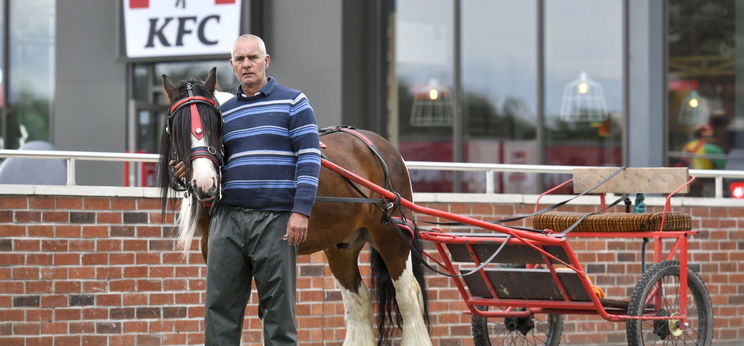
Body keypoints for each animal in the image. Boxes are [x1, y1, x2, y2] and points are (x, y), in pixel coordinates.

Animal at [159, 68, 434, 346]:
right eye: (175, 126)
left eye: (216, 122)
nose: (206, 183)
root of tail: (382, 148)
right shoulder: (215, 253)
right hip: (342, 248)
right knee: (359, 303)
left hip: (392, 238)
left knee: (408, 298)